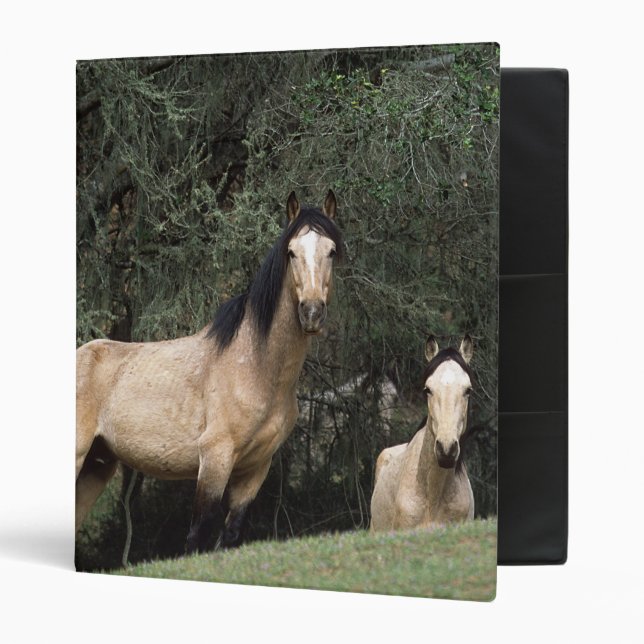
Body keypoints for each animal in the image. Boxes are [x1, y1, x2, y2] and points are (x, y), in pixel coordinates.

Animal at [76, 190, 343, 553]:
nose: (312, 312)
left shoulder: (255, 469)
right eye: (291, 252)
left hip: (96, 467)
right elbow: (197, 536)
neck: (256, 367)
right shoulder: (216, 459)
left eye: (331, 250)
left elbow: (230, 535)